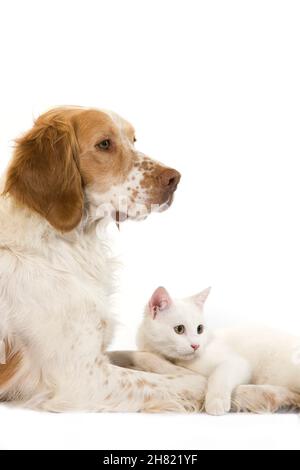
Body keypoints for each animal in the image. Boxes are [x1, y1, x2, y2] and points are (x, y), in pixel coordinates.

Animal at [137, 286, 300, 414]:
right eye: (179, 329)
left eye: (200, 329)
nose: (196, 345)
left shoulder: (237, 362)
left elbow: (219, 375)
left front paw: (216, 401)